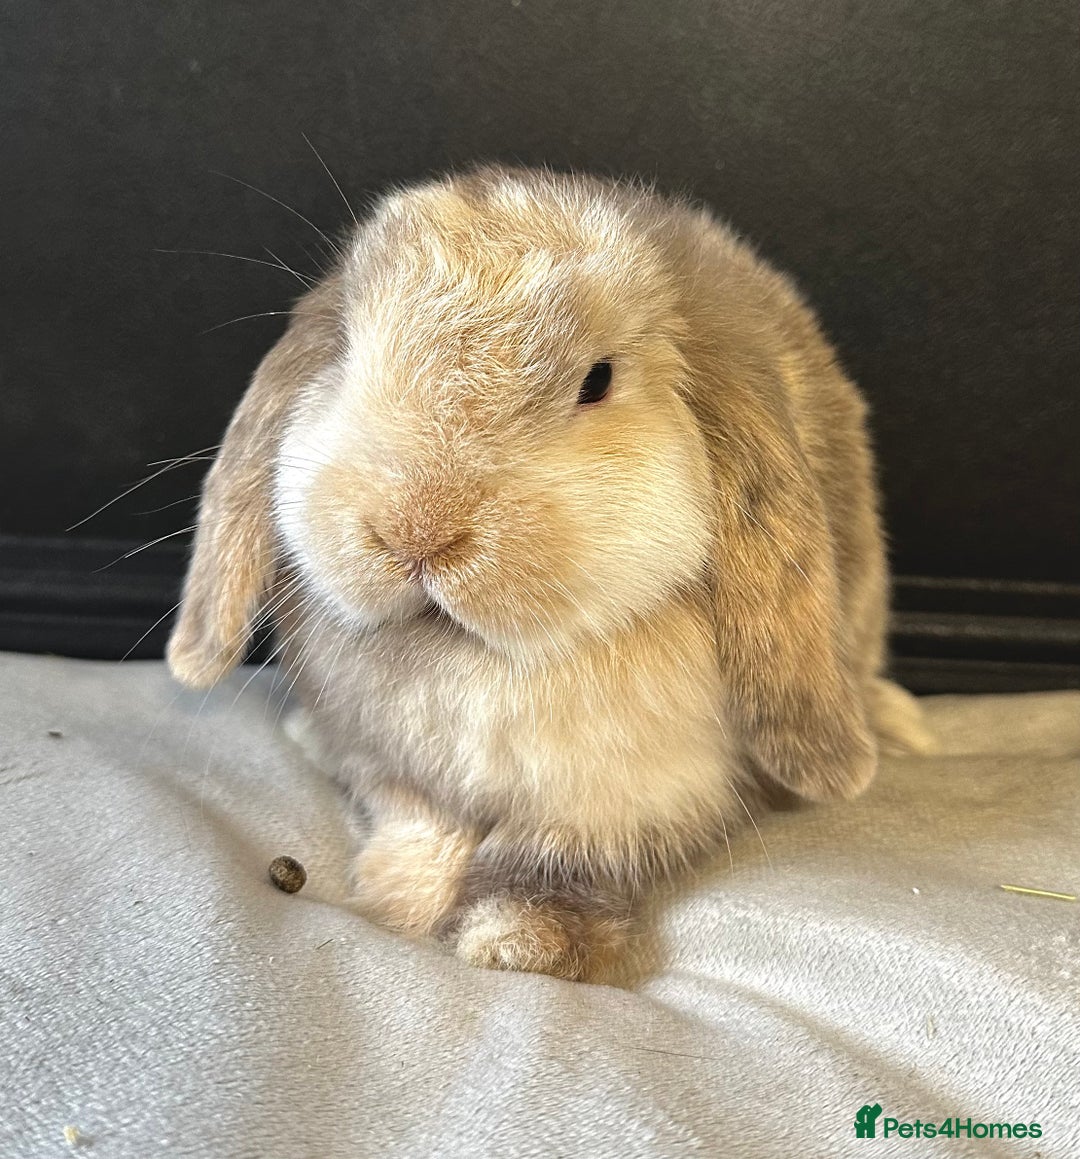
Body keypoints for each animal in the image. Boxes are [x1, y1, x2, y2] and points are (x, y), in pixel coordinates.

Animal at [167, 165, 933, 982]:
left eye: (597, 380)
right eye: (343, 348)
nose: (417, 531)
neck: (470, 656)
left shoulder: (628, 797)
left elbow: (557, 858)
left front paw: (521, 941)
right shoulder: (394, 764)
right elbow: (417, 822)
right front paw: (397, 897)